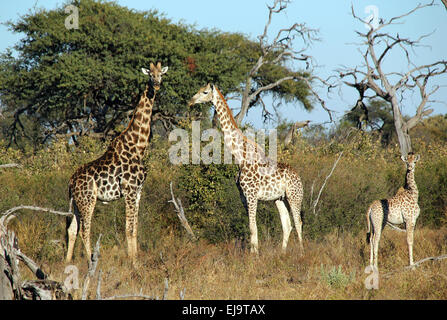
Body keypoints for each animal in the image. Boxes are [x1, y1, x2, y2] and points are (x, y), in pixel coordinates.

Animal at [67, 61, 170, 264]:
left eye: (160, 74)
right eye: (150, 75)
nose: (156, 85)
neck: (138, 145)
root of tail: (71, 182)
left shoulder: (138, 191)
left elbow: (135, 228)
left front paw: (136, 259)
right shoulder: (129, 189)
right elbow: (128, 229)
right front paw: (134, 263)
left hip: (75, 203)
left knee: (72, 229)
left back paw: (66, 262)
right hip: (88, 200)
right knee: (85, 230)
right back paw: (91, 260)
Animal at [187, 84, 306, 254]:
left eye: (205, 92)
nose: (190, 101)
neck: (240, 158)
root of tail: (299, 177)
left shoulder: (252, 195)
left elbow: (253, 227)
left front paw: (254, 256)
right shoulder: (243, 196)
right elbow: (251, 227)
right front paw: (253, 253)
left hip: (294, 196)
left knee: (298, 222)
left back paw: (302, 252)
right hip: (279, 199)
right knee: (287, 225)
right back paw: (282, 253)